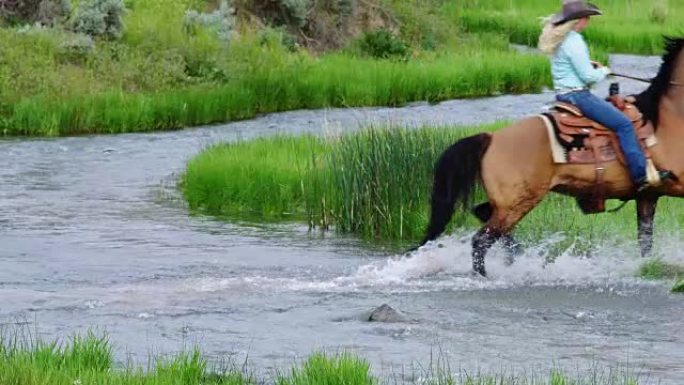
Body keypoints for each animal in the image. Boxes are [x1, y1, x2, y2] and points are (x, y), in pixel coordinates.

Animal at [416, 36, 684, 276]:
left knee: (484, 217)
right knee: (481, 240)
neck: (668, 121)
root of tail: (491, 137)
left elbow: (645, 241)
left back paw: (516, 256)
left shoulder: (648, 195)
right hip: (518, 202)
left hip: (508, 202)